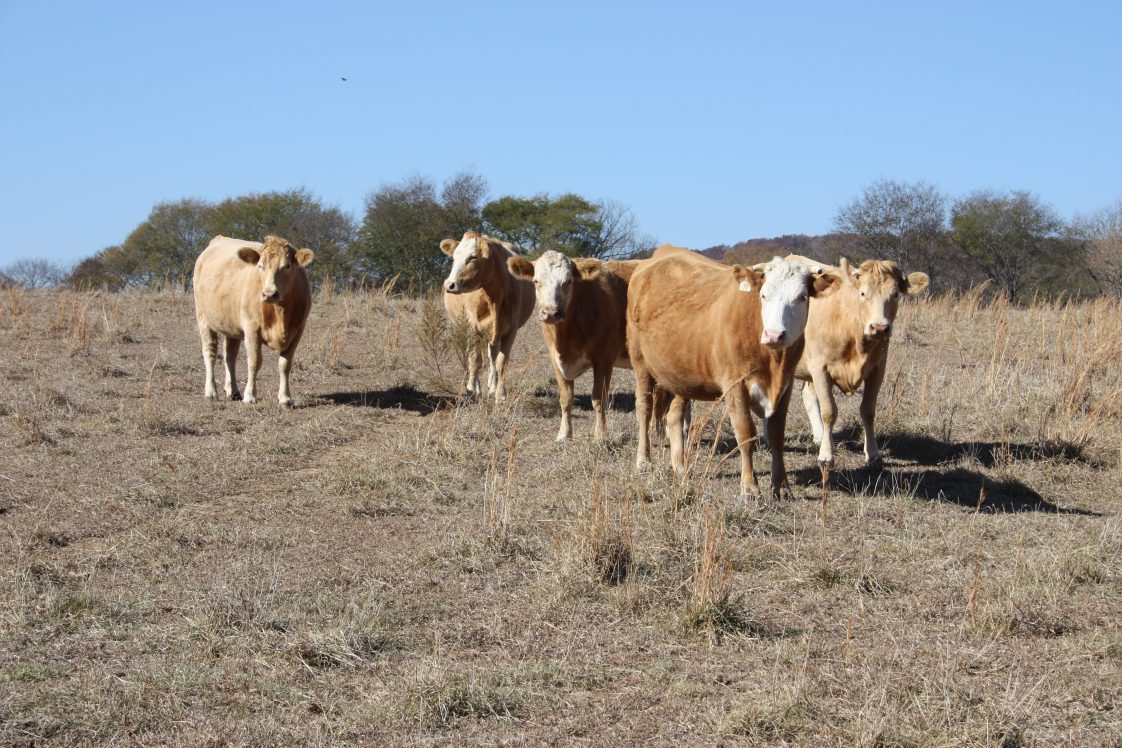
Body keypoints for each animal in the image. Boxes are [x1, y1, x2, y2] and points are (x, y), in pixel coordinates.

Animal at [192, 235, 314, 405]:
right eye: (260, 266)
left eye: (287, 266)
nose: (269, 294)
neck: (280, 313)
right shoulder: (251, 329)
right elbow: (254, 362)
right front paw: (250, 395)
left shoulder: (297, 331)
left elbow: (285, 364)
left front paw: (285, 398)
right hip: (204, 318)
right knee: (210, 352)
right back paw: (211, 391)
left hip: (231, 326)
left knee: (230, 356)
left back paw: (233, 391)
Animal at [439, 232, 536, 403]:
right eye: (454, 257)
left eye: (473, 257)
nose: (449, 285)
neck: (494, 297)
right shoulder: (472, 327)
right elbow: (475, 360)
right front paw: (472, 390)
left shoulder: (510, 331)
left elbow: (500, 362)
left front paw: (500, 393)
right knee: (473, 356)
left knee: (492, 356)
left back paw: (492, 385)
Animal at [789, 259, 929, 468]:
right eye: (863, 293)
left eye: (895, 294)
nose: (879, 327)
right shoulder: (820, 369)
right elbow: (829, 411)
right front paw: (826, 455)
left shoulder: (877, 369)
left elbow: (868, 410)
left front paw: (873, 453)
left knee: (807, 395)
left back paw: (819, 437)